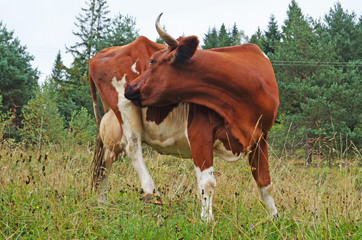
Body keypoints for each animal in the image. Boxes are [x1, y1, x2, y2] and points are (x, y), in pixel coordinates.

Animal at [124, 14, 280, 222]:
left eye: (152, 61)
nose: (129, 87)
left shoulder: (261, 137)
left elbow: (265, 183)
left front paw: (275, 218)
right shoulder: (200, 132)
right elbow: (207, 183)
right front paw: (207, 220)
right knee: (131, 148)